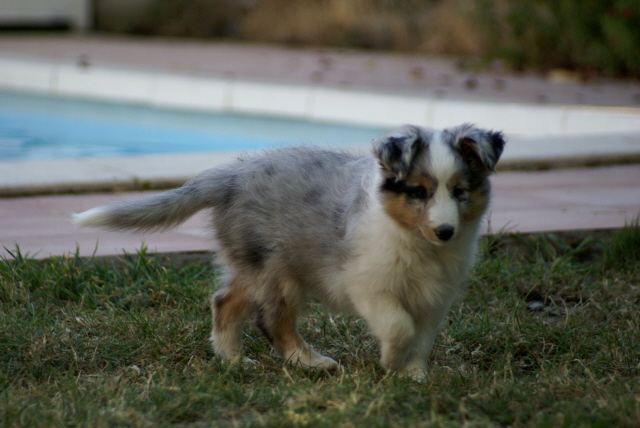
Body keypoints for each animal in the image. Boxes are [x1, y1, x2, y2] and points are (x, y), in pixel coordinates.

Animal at [74, 123, 504, 378]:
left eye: (460, 192)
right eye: (418, 192)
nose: (446, 232)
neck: (415, 242)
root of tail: (231, 175)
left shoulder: (435, 298)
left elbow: (422, 336)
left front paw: (413, 375)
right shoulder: (368, 284)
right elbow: (399, 326)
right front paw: (392, 363)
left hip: (255, 265)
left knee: (223, 301)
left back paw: (234, 361)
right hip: (278, 271)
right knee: (271, 321)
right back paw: (309, 362)